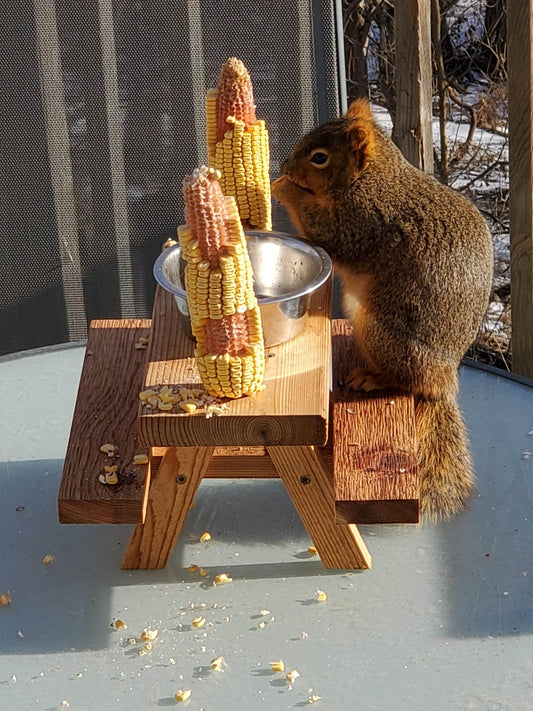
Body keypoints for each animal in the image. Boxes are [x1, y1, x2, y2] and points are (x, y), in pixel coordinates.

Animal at [271, 99, 494, 522]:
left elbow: (327, 232)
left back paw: (373, 378)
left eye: (320, 158)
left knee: (408, 382)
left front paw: (285, 188)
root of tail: (444, 381)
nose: (285, 167)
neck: (371, 179)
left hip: (384, 333)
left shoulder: (364, 222)